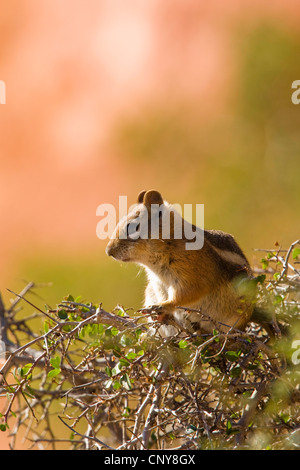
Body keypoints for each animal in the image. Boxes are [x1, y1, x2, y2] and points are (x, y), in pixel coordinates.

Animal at [106, 189, 254, 336]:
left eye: (132, 227)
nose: (109, 251)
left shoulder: (191, 274)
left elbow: (187, 293)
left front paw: (162, 306)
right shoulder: (158, 284)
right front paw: (162, 313)